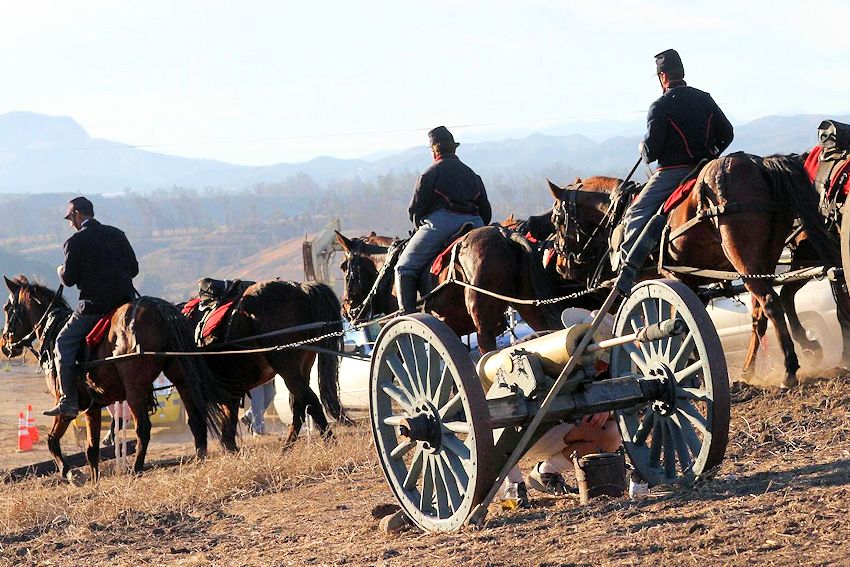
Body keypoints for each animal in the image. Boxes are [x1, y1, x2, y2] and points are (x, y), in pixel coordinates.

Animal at [183, 280, 348, 448]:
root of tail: (301, 288)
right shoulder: (231, 389)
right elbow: (227, 429)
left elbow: (200, 422)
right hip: (302, 368)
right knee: (300, 407)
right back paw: (287, 447)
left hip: (288, 370)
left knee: (310, 403)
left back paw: (329, 443)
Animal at [540, 153, 844, 388]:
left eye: (556, 219)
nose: (560, 265)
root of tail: (758, 165)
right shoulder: (688, 282)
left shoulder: (666, 281)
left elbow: (675, 326)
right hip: (763, 263)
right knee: (764, 311)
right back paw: (754, 368)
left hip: (746, 262)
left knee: (771, 303)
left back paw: (790, 368)